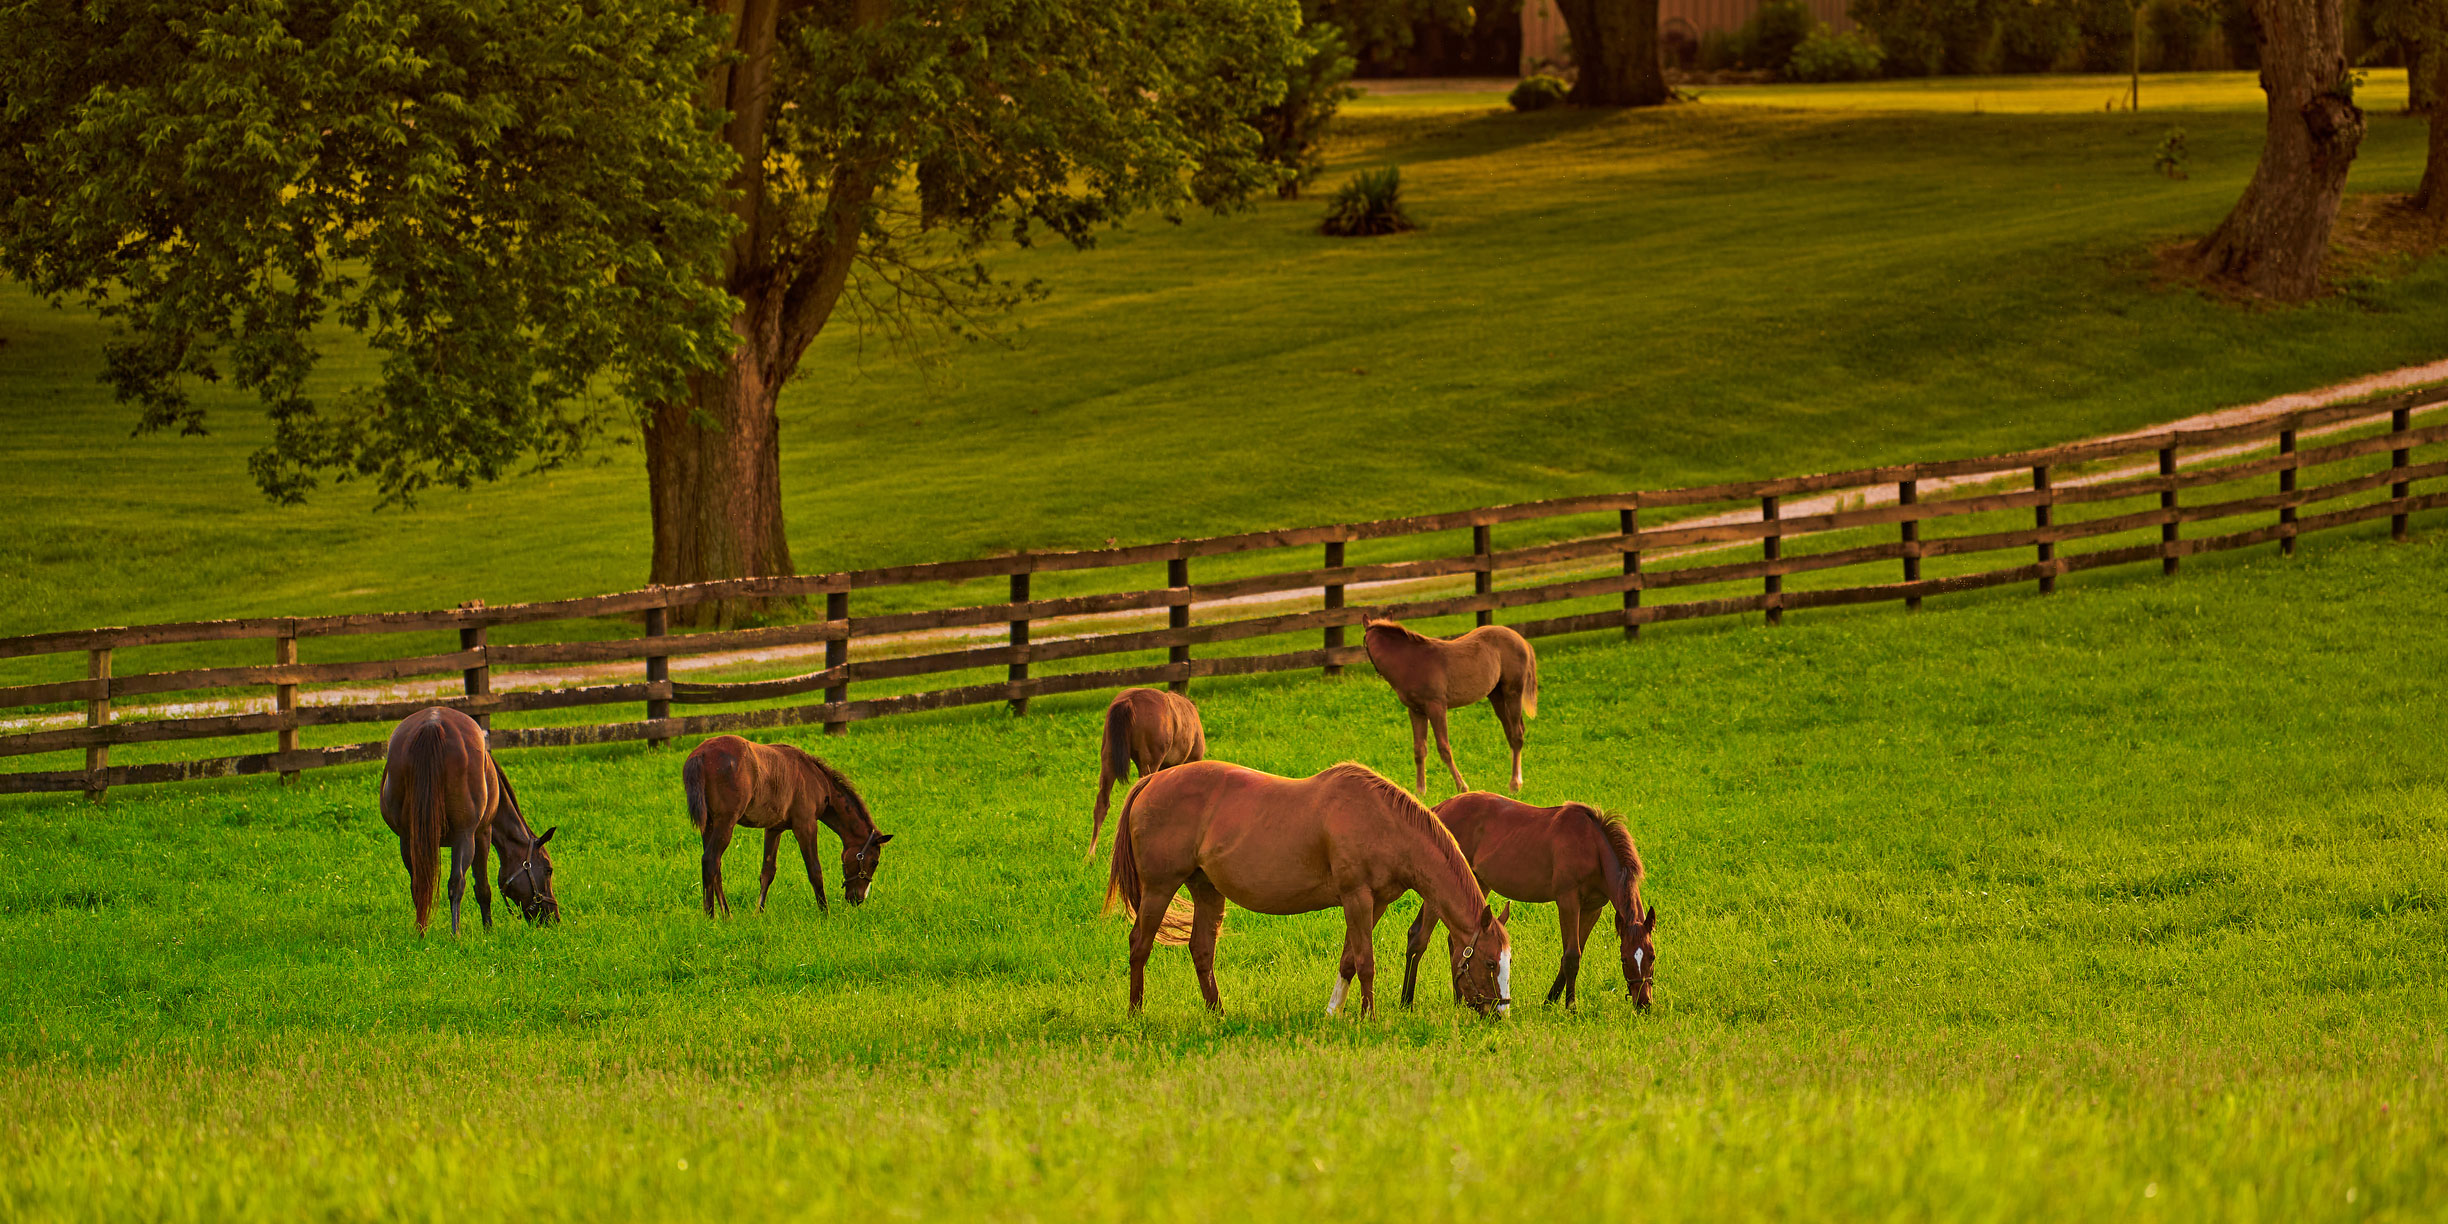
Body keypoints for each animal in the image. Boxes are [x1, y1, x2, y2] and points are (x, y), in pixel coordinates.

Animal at [378, 706, 560, 935]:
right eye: (548, 869)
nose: (554, 917)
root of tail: (432, 725)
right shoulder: (482, 834)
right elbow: (482, 887)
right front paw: (488, 930)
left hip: (409, 838)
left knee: (419, 886)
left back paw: (421, 933)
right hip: (464, 837)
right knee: (457, 883)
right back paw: (455, 935)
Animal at [682, 735, 892, 916]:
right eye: (874, 861)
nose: (858, 899)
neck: (816, 778)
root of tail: (700, 754)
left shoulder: (774, 829)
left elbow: (767, 872)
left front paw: (759, 913)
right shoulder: (806, 826)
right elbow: (815, 871)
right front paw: (825, 913)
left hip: (709, 825)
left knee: (716, 868)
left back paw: (727, 915)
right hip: (725, 823)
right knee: (710, 861)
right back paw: (711, 916)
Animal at [1104, 759, 1512, 1018]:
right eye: (1490, 962)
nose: (1499, 1014)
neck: (1383, 822)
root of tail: (1152, 781)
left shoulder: (1373, 904)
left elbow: (1348, 961)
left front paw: (1333, 1013)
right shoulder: (1357, 898)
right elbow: (1366, 962)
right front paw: (1369, 1017)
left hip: (1206, 889)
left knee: (1202, 950)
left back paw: (1217, 1014)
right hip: (1159, 889)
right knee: (1139, 946)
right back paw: (1136, 1014)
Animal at [1361, 618, 1539, 798]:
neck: (1411, 661)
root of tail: (1520, 639)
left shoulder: (1437, 707)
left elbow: (1444, 748)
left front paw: (1462, 787)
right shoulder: (1416, 711)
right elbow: (1419, 750)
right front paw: (1420, 792)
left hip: (1513, 692)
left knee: (1516, 735)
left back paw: (1514, 784)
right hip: (1497, 696)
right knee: (1511, 732)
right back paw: (1517, 780)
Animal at [1401, 791, 1657, 1010]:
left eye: (1652, 956)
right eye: (1624, 958)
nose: (1644, 1003)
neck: (1593, 846)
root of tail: (1440, 808)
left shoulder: (1593, 908)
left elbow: (1574, 952)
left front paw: (1550, 1001)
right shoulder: (1568, 900)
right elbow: (1572, 956)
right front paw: (1570, 1008)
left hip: (1477, 882)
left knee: (1456, 942)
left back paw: (1460, 1000)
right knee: (1419, 936)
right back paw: (1407, 1001)